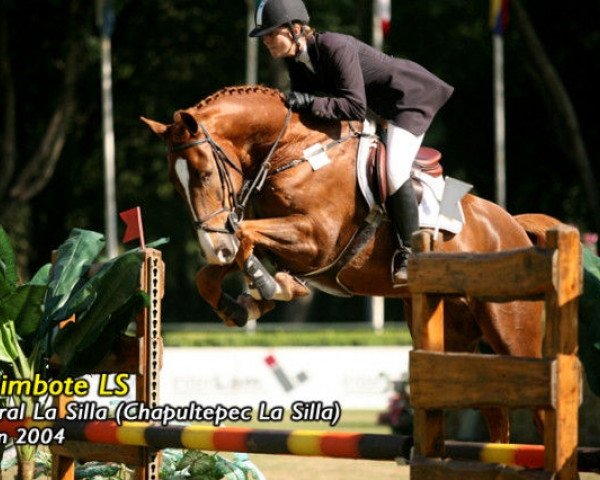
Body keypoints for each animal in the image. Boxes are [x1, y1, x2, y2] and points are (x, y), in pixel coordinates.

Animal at [143, 85, 556, 442]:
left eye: (204, 174)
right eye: (174, 184)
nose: (214, 247)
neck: (293, 152)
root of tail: (513, 226)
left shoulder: (316, 238)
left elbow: (245, 234)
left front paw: (270, 287)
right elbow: (212, 272)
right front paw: (248, 303)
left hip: (509, 330)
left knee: (536, 407)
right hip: (456, 334)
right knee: (492, 410)